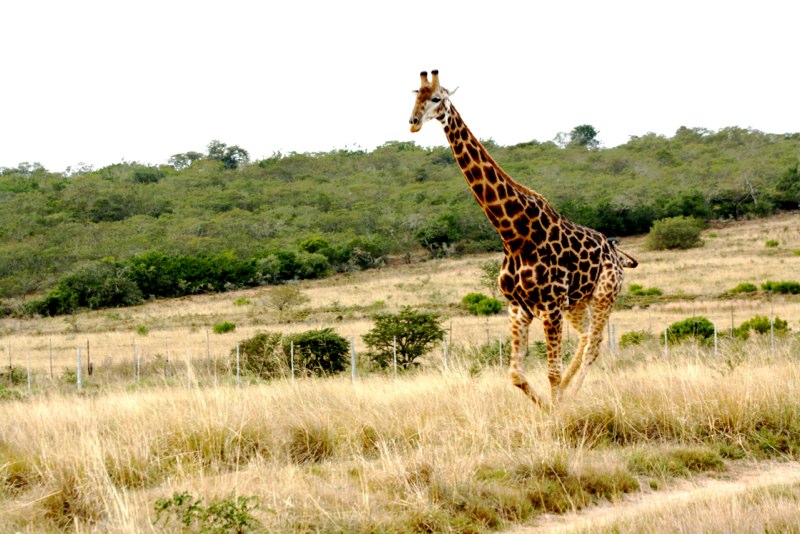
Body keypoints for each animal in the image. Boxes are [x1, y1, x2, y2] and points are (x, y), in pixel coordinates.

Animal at [409, 70, 637, 408]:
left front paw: (555, 413)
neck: (514, 234)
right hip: (577, 303)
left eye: (436, 98)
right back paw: (567, 396)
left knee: (593, 347)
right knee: (584, 339)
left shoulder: (550, 306)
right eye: (415, 96)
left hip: (604, 296)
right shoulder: (518, 307)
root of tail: (617, 254)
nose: (413, 121)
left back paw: (571, 397)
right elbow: (516, 375)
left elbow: (551, 372)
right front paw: (548, 407)